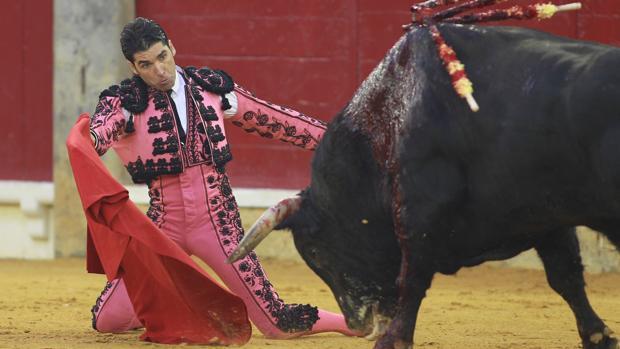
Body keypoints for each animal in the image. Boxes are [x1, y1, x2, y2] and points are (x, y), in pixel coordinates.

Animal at [230, 23, 616, 348]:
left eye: (313, 251)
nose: (357, 324)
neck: (383, 127)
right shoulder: (547, 216)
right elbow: (565, 275)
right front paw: (598, 335)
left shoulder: (420, 212)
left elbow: (411, 279)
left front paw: (394, 340)